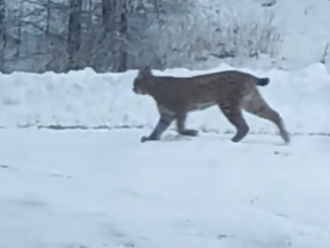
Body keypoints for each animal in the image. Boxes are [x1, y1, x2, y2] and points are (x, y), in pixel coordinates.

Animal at [131, 66, 288, 143]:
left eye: (134, 83)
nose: (132, 89)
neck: (154, 88)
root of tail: (246, 75)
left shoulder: (180, 109)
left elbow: (179, 128)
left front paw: (192, 132)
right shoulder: (167, 114)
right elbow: (158, 128)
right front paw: (151, 139)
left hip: (228, 105)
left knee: (244, 126)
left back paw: (233, 141)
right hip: (251, 102)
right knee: (274, 114)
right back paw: (286, 137)